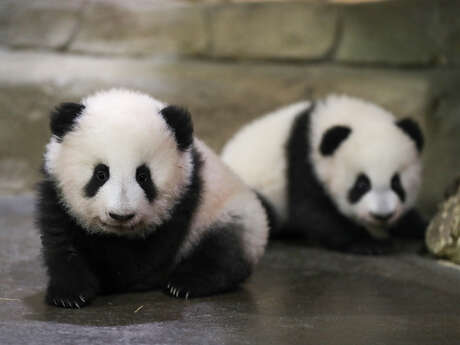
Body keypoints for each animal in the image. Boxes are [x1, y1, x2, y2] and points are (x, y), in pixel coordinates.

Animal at [38, 88, 270, 306]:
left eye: (143, 176)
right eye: (101, 174)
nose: (121, 215)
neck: (117, 234)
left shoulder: (184, 197)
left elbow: (144, 258)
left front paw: (112, 277)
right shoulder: (56, 194)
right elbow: (61, 242)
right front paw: (69, 294)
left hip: (229, 213)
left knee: (223, 250)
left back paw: (185, 283)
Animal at [221, 95, 426, 254]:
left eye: (396, 183)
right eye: (361, 184)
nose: (382, 215)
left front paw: (418, 228)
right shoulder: (302, 161)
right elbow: (313, 212)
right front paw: (369, 244)